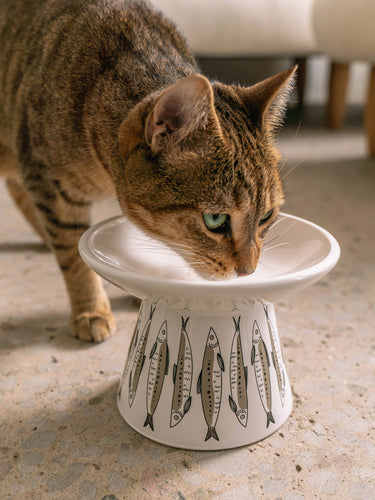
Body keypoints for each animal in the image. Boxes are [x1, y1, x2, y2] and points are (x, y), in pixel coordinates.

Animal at [0, 0, 296, 342]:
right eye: (215, 220)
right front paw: (91, 309)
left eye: (266, 216)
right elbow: (72, 254)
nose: (248, 271)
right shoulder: (51, 183)